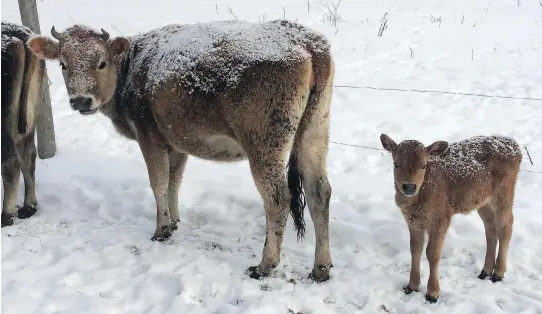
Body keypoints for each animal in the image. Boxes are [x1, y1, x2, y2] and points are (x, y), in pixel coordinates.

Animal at [28, 19, 340, 280]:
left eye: (102, 62)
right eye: (63, 64)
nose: (81, 100)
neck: (131, 67)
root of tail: (305, 41)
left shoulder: (150, 139)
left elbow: (158, 183)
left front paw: (161, 230)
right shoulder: (177, 144)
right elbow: (173, 182)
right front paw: (175, 220)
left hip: (264, 145)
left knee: (278, 199)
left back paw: (265, 265)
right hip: (314, 134)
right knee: (319, 193)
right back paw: (320, 268)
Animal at [380, 134, 524, 302]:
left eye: (424, 165)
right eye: (396, 163)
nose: (409, 187)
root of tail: (513, 144)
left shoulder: (440, 220)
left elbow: (433, 254)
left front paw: (432, 293)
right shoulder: (413, 223)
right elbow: (415, 250)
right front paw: (412, 286)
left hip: (503, 195)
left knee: (505, 226)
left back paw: (498, 274)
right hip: (483, 202)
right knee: (490, 228)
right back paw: (485, 271)